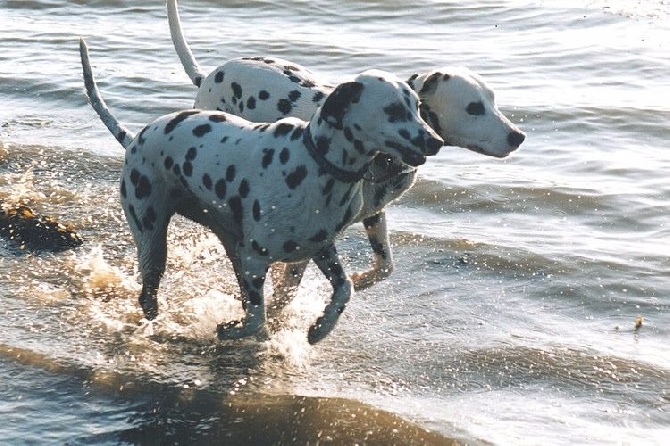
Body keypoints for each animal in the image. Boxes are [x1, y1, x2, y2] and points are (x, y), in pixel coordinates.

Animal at [80, 39, 446, 344]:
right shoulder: (256, 260)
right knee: (149, 296)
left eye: (417, 106)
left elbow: (344, 289)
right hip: (153, 239)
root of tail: (134, 140)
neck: (314, 164)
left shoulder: (320, 249)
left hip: (232, 247)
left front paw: (320, 328)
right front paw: (236, 330)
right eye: (393, 110)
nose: (436, 141)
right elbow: (257, 318)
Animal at [167, 0, 524, 298]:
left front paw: (361, 279)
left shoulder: (375, 216)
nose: (517, 136)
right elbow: (288, 289)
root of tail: (208, 75)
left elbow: (385, 266)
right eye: (474, 108)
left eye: (492, 99)